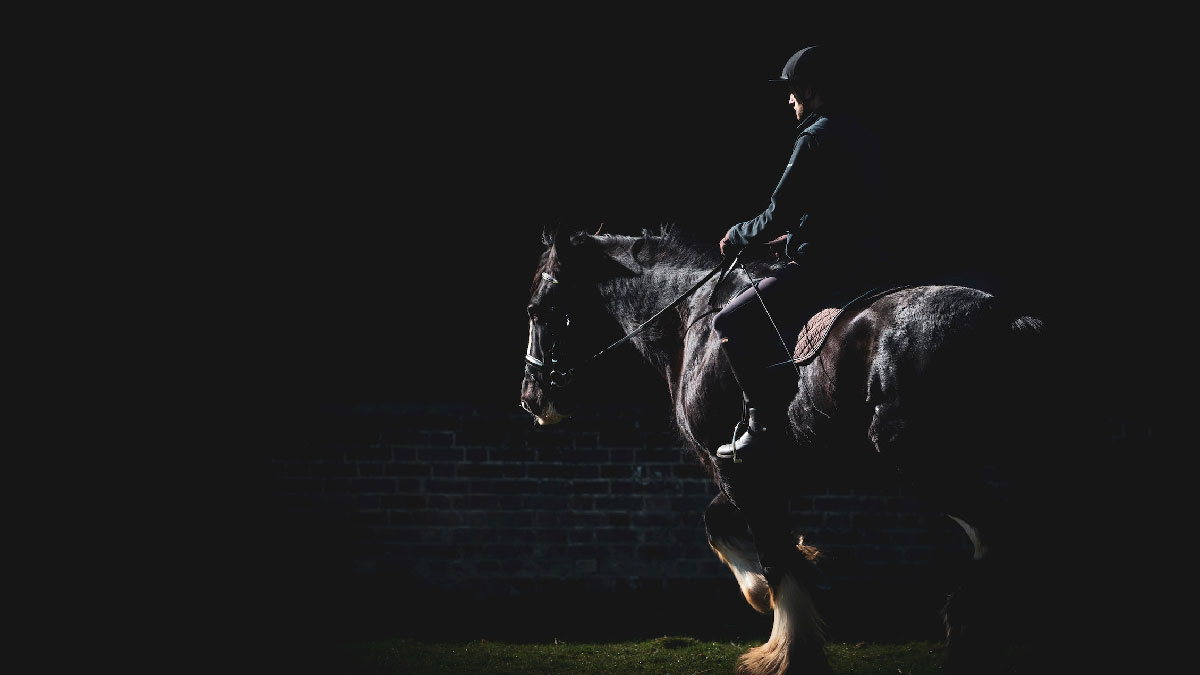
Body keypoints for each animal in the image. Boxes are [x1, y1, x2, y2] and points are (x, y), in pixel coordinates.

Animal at [519, 227, 1068, 674]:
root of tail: (1011, 318)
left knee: (1002, 534)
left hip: (924, 462)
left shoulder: (739, 470)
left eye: (536, 311)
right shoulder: (755, 469)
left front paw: (785, 649)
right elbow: (724, 526)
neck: (691, 320)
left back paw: (964, 625)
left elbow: (771, 553)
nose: (531, 399)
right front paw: (780, 591)